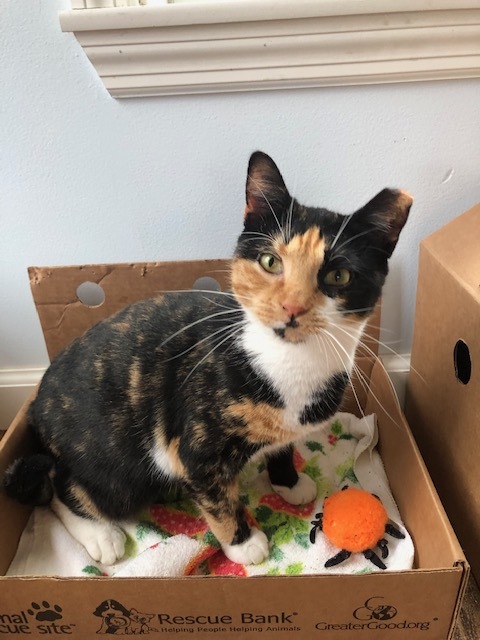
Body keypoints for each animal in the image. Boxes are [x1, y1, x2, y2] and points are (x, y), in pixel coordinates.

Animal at [2, 152, 412, 568]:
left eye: (339, 275)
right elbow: (217, 500)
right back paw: (101, 534)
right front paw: (243, 543)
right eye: (270, 261)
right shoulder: (195, 450)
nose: (292, 307)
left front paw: (289, 481)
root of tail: (36, 403)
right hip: (117, 467)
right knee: (59, 488)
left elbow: (283, 445)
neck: (291, 365)